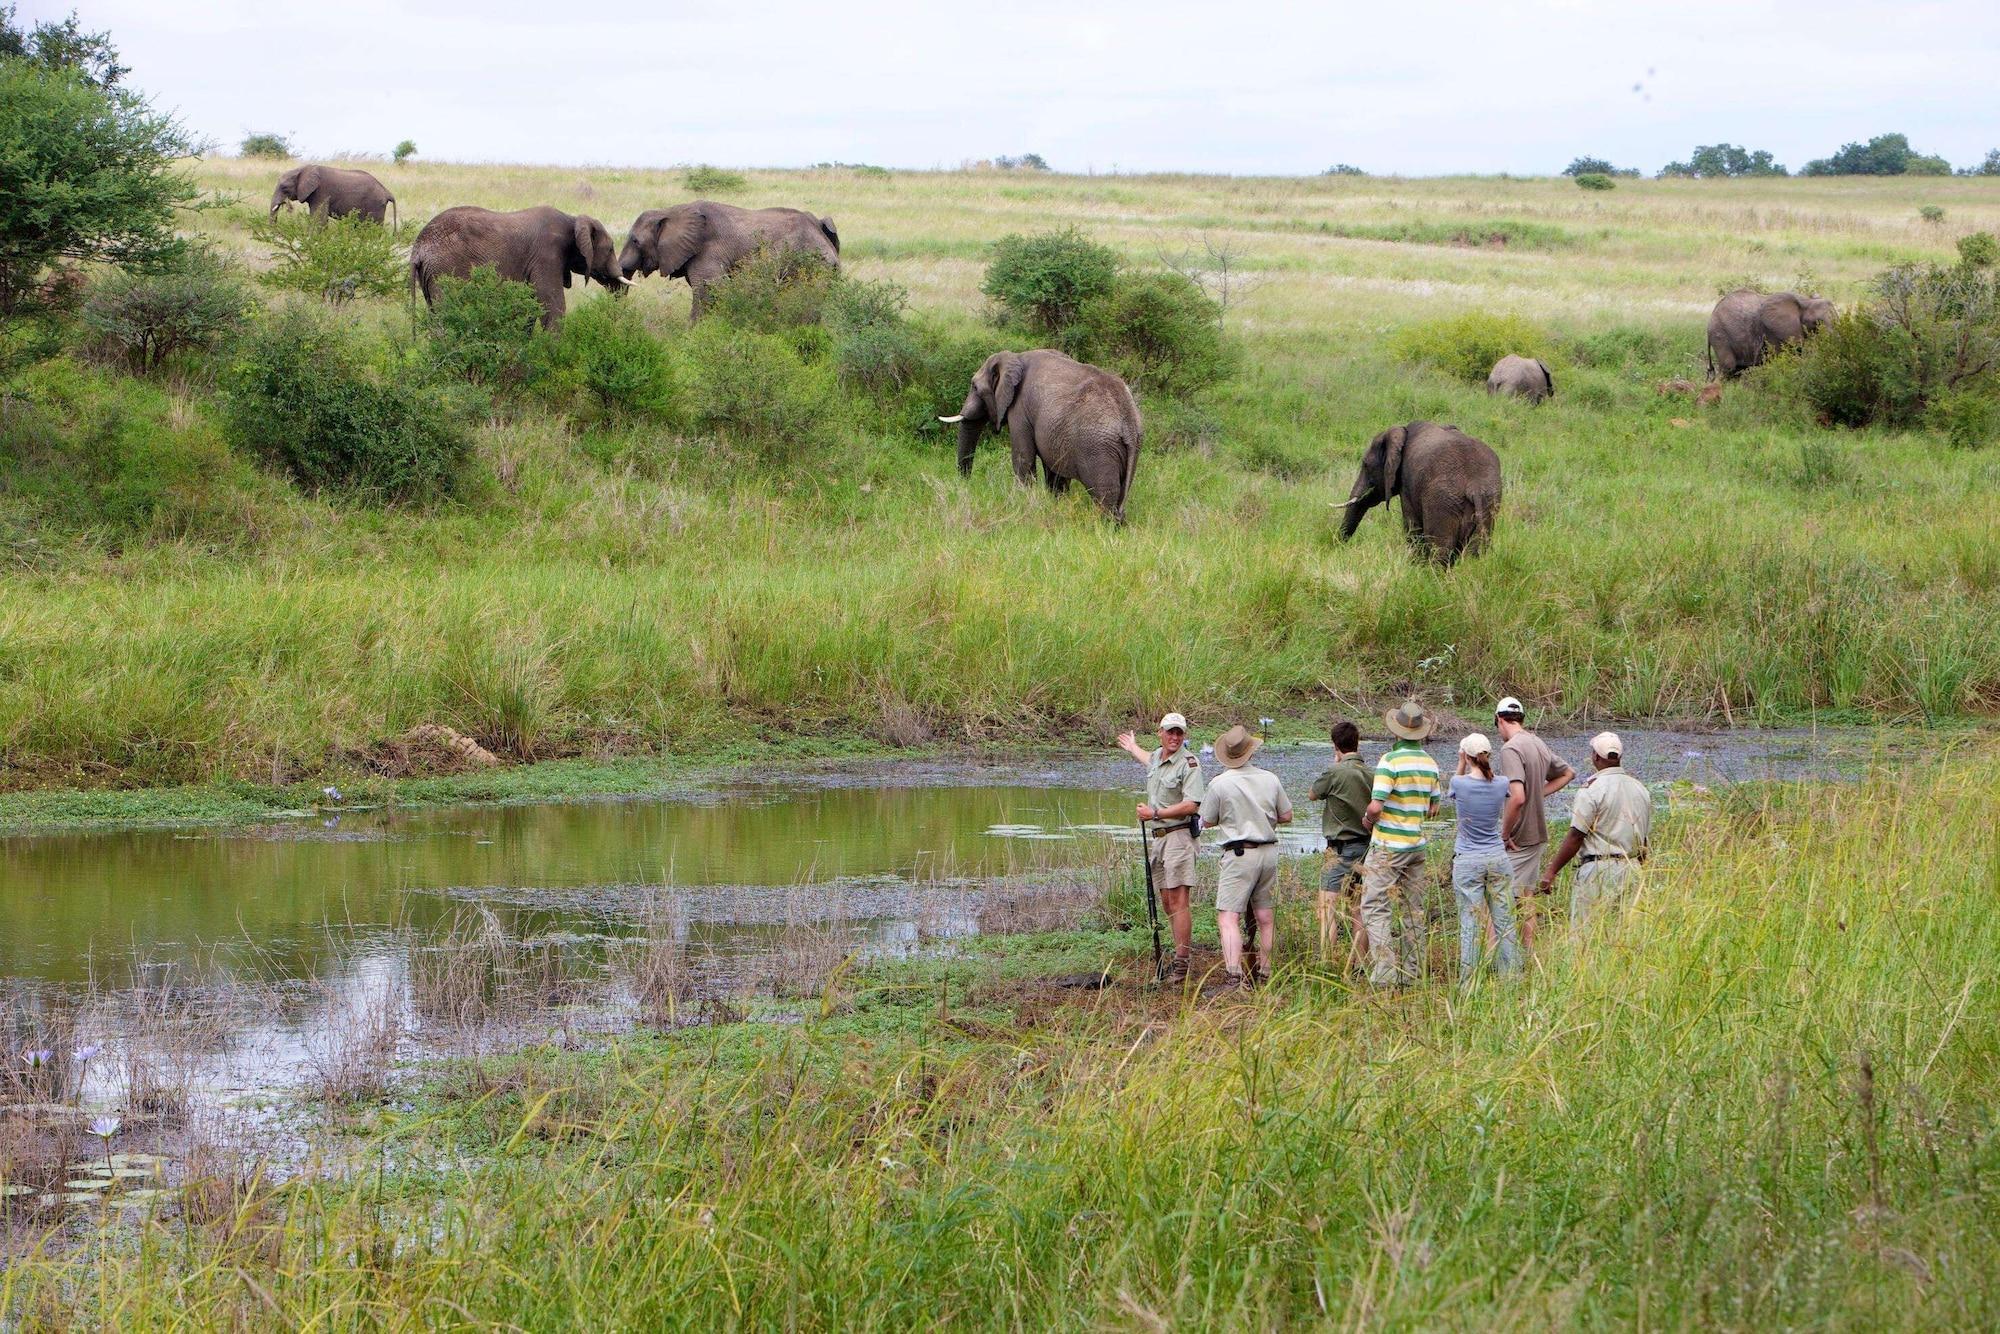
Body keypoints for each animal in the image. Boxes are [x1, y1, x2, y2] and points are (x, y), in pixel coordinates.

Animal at [406, 204, 624, 328]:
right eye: (611, 249)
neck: (573, 220)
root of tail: (418, 249)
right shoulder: (547, 256)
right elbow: (553, 305)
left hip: (429, 274)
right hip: (444, 269)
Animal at [936, 350, 1144, 520]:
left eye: (974, 387)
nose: (965, 485)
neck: (1015, 357)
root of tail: (1128, 421)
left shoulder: (1019, 409)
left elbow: (1023, 458)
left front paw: (1023, 501)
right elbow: (1054, 471)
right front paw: (1055, 505)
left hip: (1097, 448)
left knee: (1104, 497)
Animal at [1336, 418, 1504, 564]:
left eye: (1365, 465)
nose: (1337, 545)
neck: (1402, 431)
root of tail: (1475, 487)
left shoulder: (1407, 483)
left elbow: (1412, 526)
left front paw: (1414, 567)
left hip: (1441, 500)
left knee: (1441, 547)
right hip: (1489, 502)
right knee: (1474, 551)